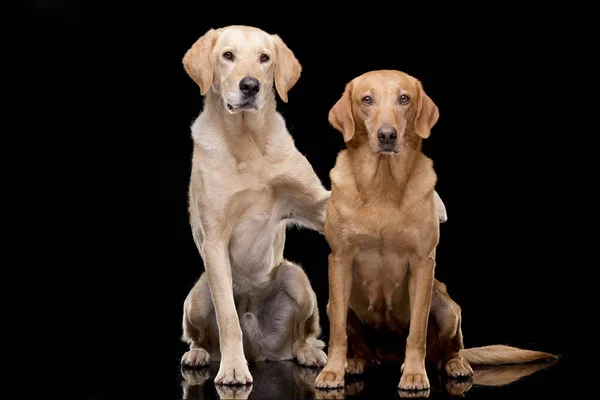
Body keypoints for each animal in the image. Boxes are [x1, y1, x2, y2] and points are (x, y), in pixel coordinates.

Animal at [316, 69, 556, 390]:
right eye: (366, 100)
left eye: (404, 98)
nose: (387, 135)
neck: (383, 186)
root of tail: (386, 355)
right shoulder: (339, 261)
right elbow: (338, 334)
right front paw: (332, 370)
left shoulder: (423, 264)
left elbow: (416, 331)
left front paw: (414, 373)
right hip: (332, 304)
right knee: (360, 346)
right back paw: (355, 363)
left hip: (446, 304)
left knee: (449, 350)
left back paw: (456, 365)